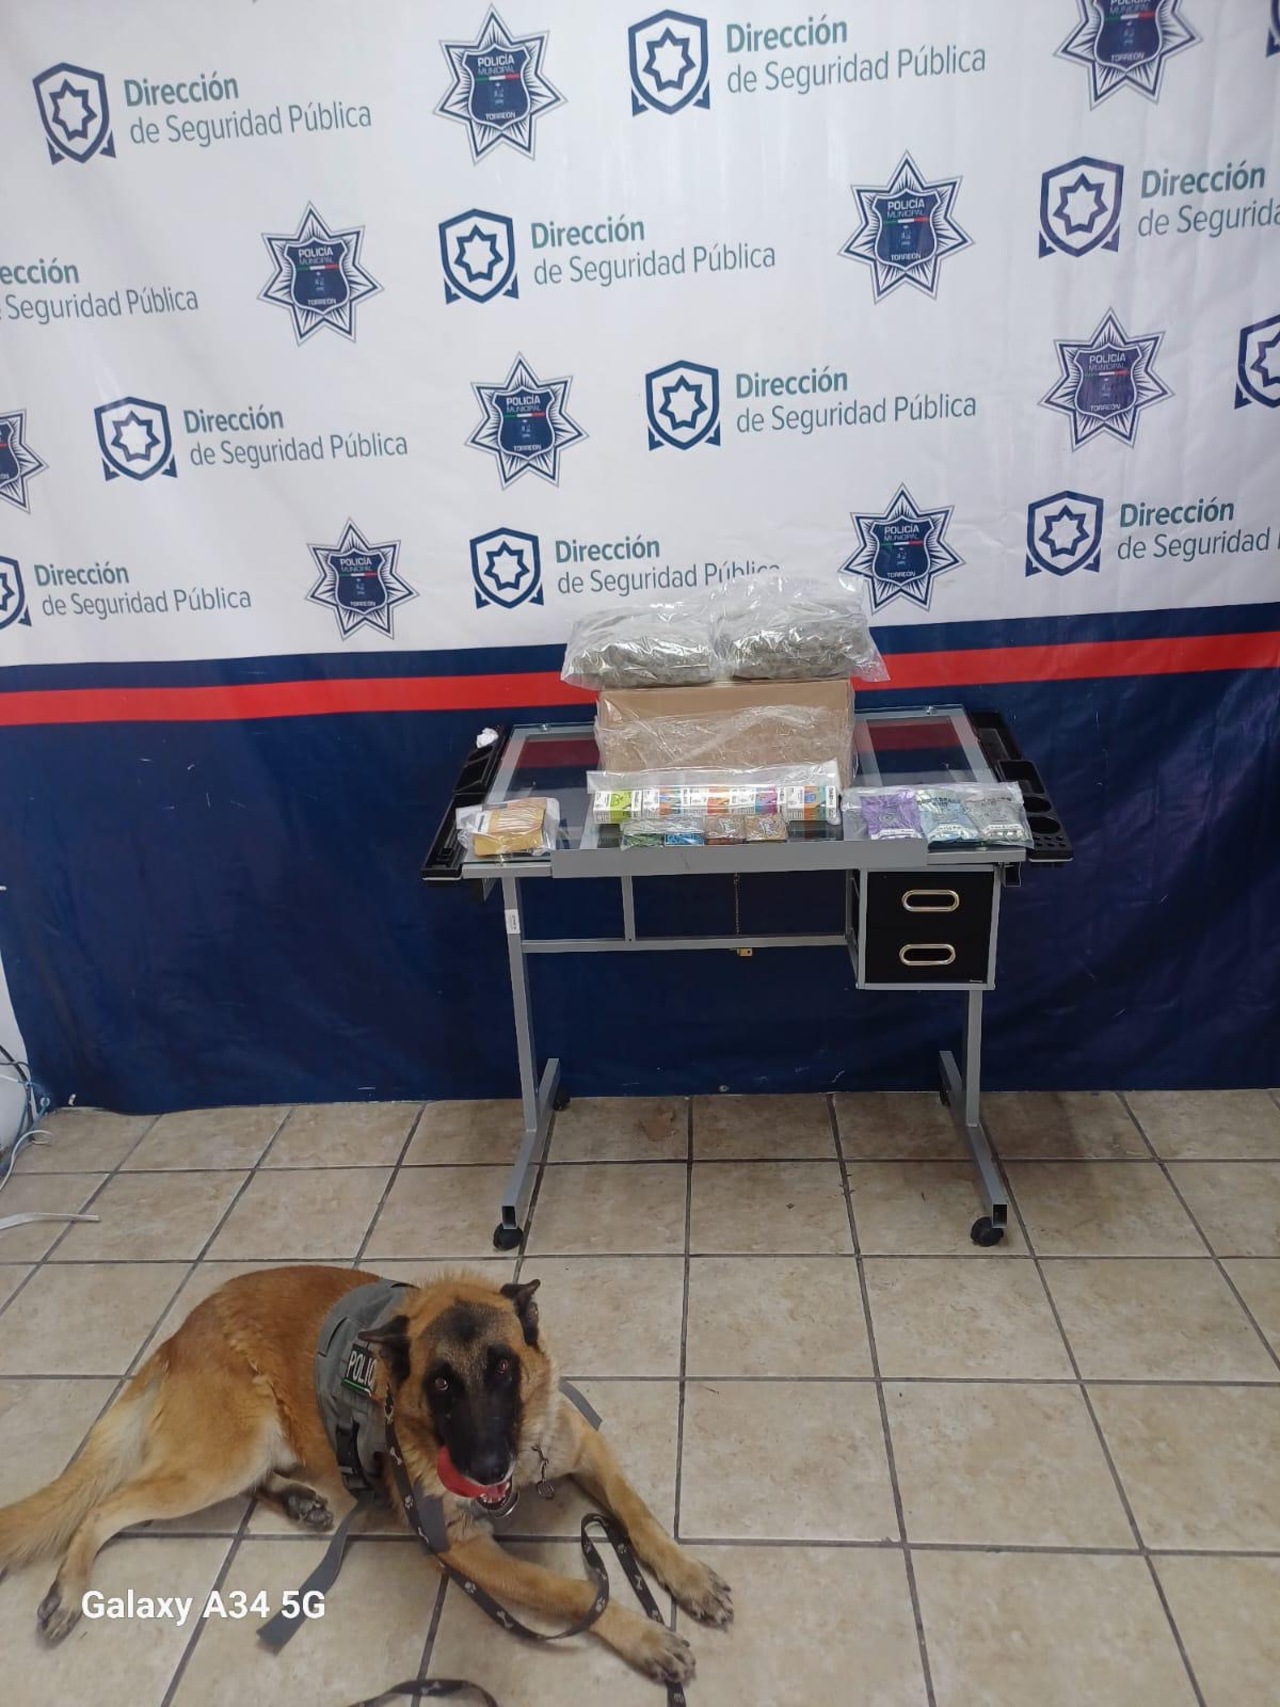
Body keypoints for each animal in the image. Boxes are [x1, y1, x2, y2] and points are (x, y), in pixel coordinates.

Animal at [0, 1266, 730, 1685]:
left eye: (503, 1367)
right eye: (441, 1384)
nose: (487, 1470)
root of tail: (179, 1334)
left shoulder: (588, 1451)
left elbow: (638, 1515)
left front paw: (689, 1578)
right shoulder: (460, 1547)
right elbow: (573, 1592)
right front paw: (646, 1637)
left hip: (249, 1451)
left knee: (250, 1479)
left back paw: (299, 1499)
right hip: (224, 1454)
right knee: (108, 1506)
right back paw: (67, 1589)